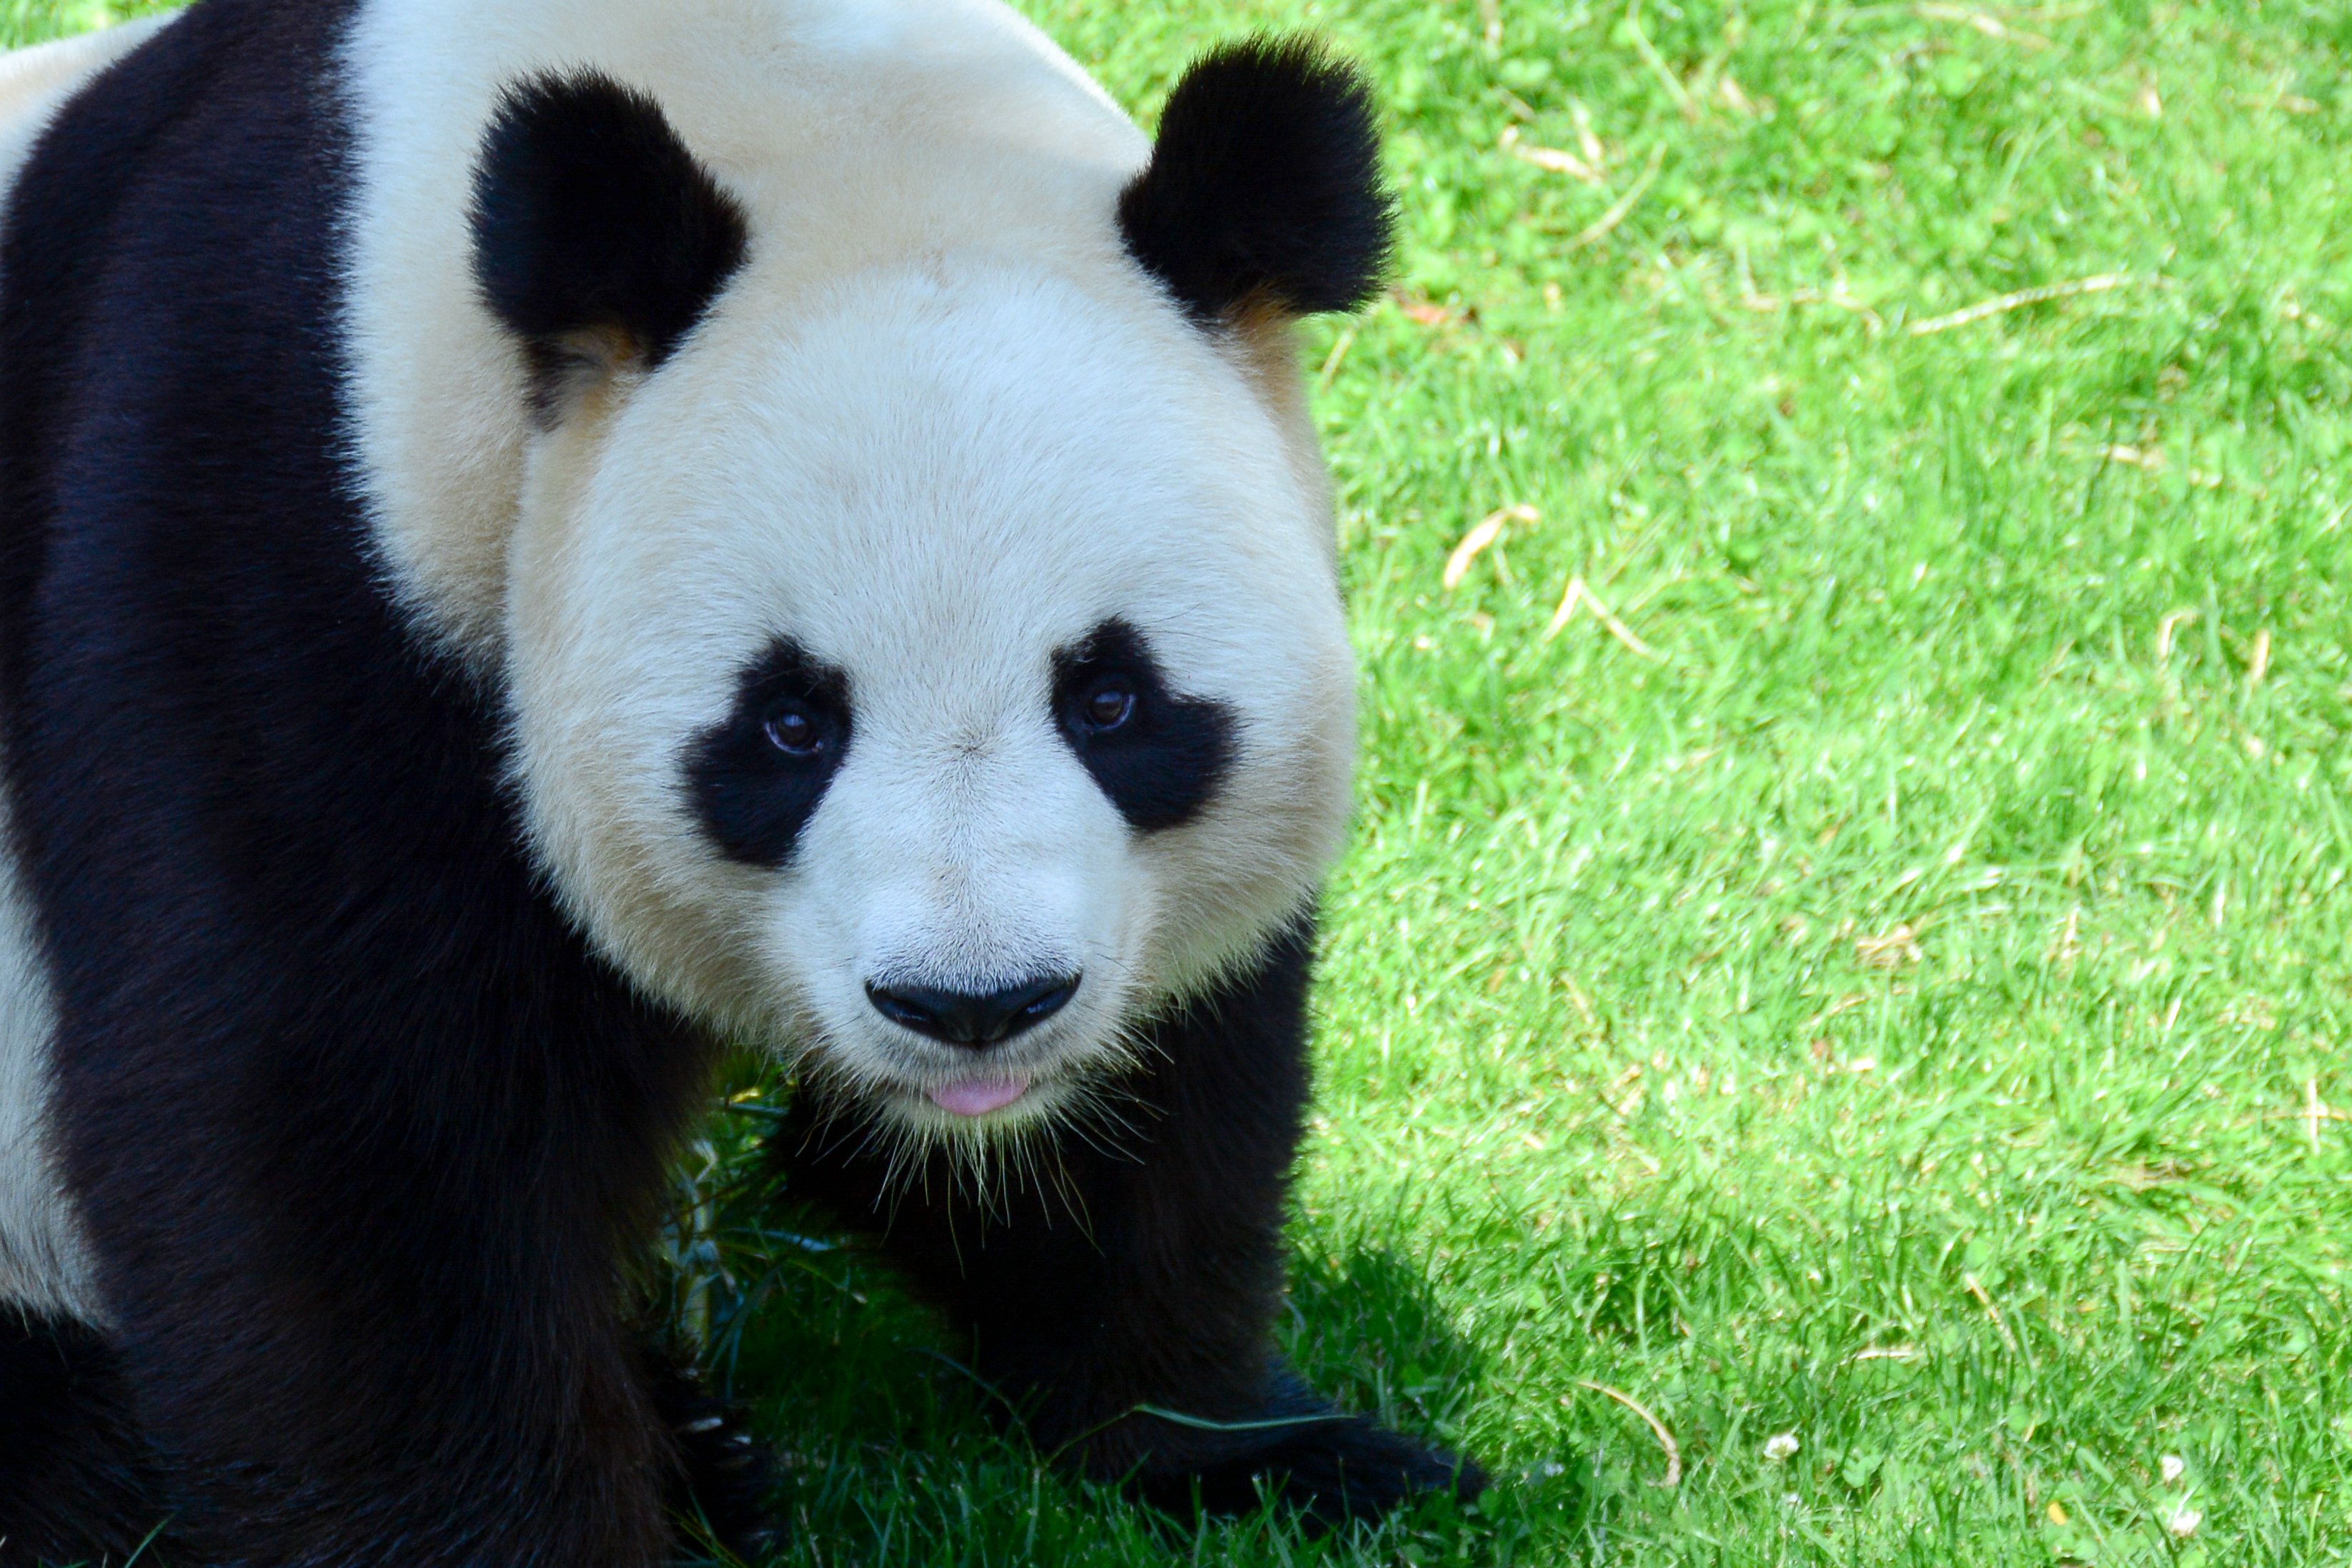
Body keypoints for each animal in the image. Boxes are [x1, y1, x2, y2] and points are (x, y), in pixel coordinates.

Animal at [0, 0, 1484, 1561]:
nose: (975, 1005)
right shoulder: (272, 554)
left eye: (1110, 697)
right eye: (787, 724)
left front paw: (1243, 1445)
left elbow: (1165, 1098)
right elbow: (335, 1141)